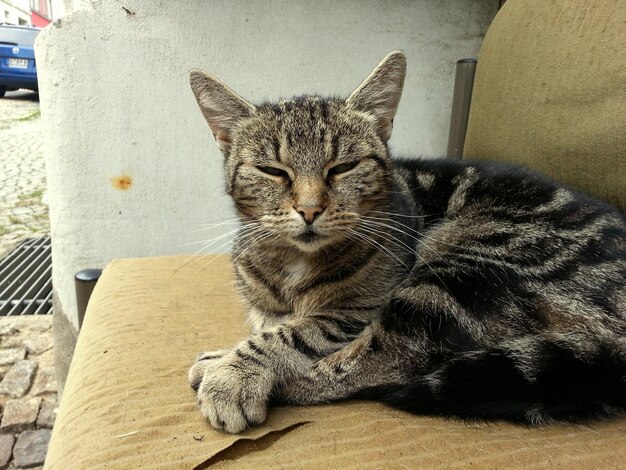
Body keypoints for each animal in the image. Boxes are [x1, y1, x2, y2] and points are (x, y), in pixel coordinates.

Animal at [186, 50, 624, 434]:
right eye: (272, 171)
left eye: (343, 167)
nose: (309, 209)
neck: (289, 263)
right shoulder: (267, 306)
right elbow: (268, 323)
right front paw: (235, 351)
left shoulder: (353, 310)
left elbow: (292, 335)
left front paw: (234, 372)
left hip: (459, 266)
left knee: (387, 361)